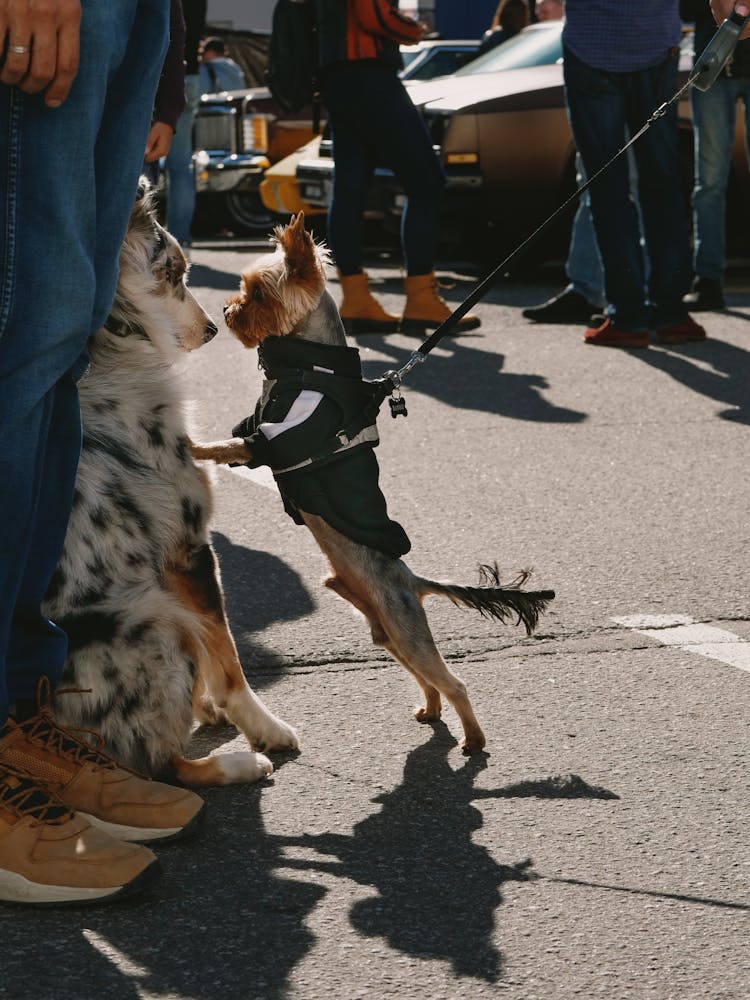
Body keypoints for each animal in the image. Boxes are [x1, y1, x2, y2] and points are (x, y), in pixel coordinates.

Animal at [192, 213, 560, 756]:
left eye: (258, 294)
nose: (228, 310)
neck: (306, 368)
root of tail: (413, 580)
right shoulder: (258, 428)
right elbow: (236, 437)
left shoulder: (280, 439)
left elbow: (229, 446)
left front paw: (191, 446)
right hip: (387, 634)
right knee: (426, 679)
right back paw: (430, 712)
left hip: (405, 631)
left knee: (453, 681)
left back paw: (473, 740)